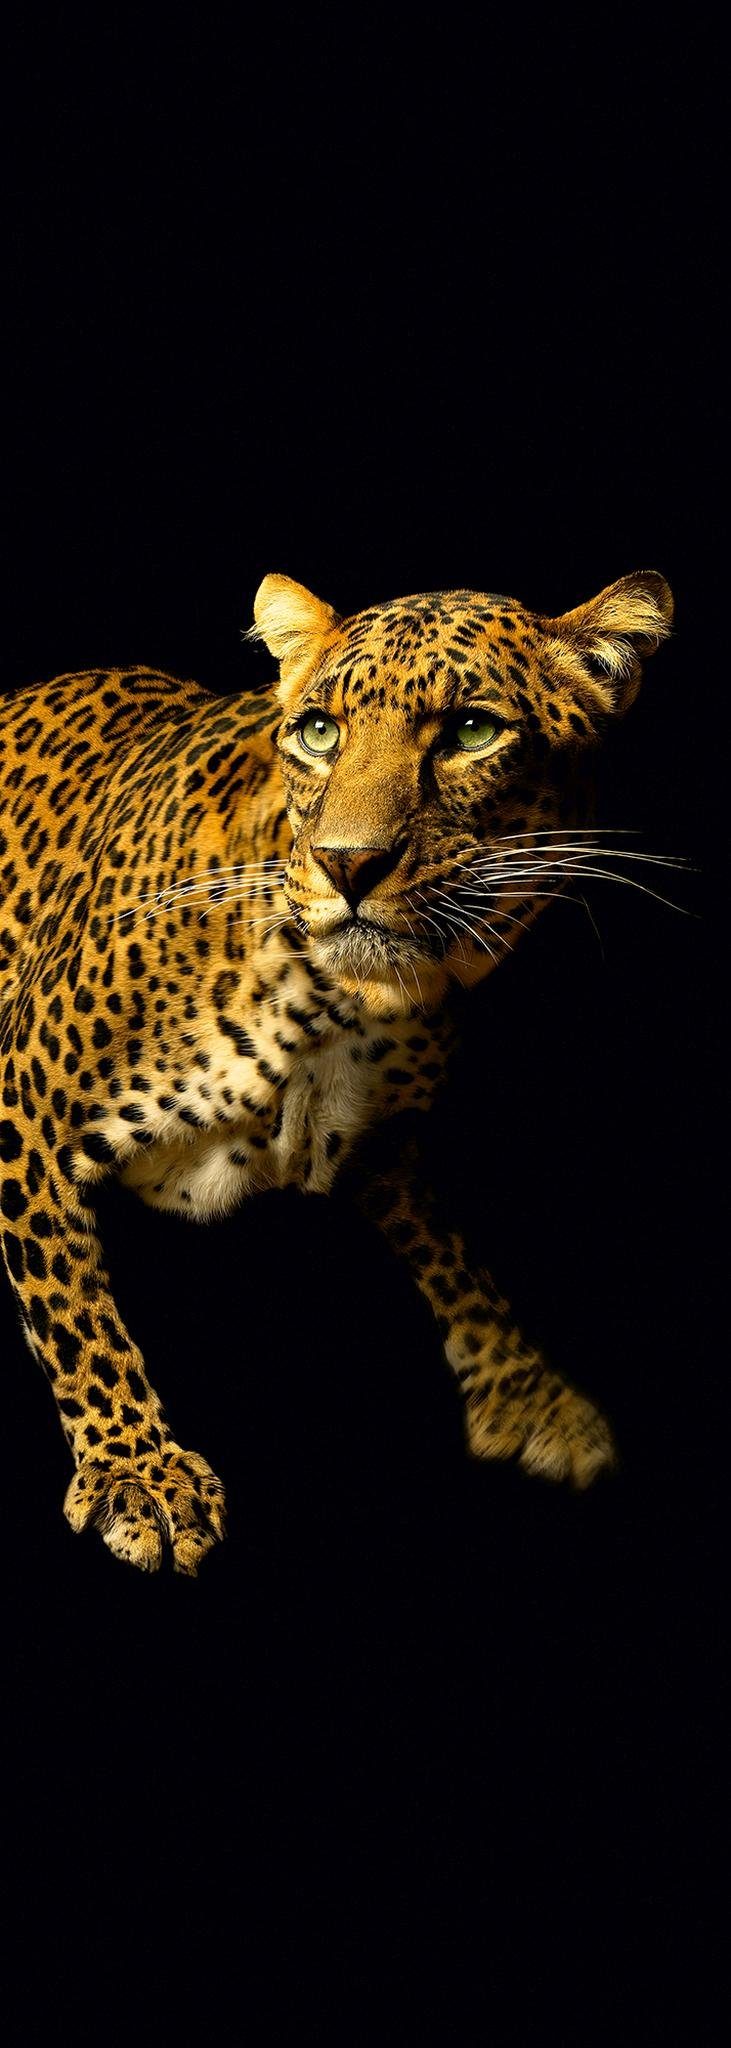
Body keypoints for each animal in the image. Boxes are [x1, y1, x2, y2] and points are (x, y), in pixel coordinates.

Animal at [0, 567, 673, 1573]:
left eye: (470, 731)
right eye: (318, 732)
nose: (347, 864)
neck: (330, 1003)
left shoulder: (379, 1143)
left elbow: (450, 1251)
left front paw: (524, 1391)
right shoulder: (29, 1102)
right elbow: (71, 1305)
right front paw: (138, 1472)